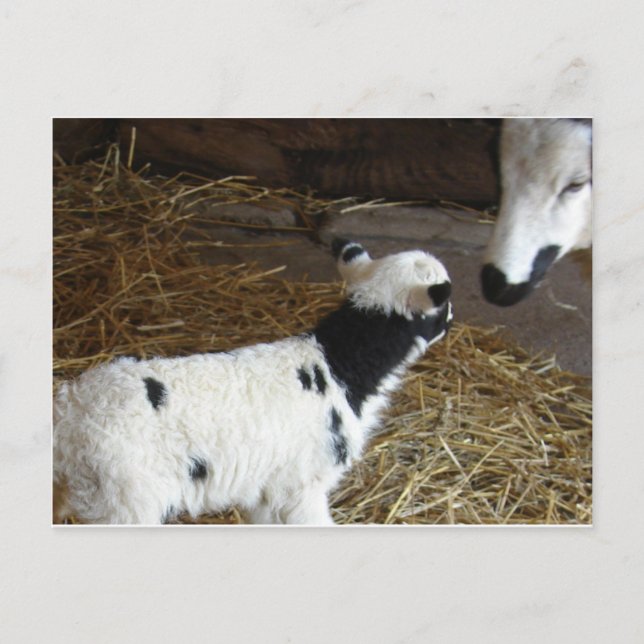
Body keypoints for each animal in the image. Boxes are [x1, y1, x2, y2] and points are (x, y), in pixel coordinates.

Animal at [53, 239, 453, 525]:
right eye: (445, 306)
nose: (452, 321)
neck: (341, 365)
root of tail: (71, 411)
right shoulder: (303, 484)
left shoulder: (269, 490)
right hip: (125, 499)